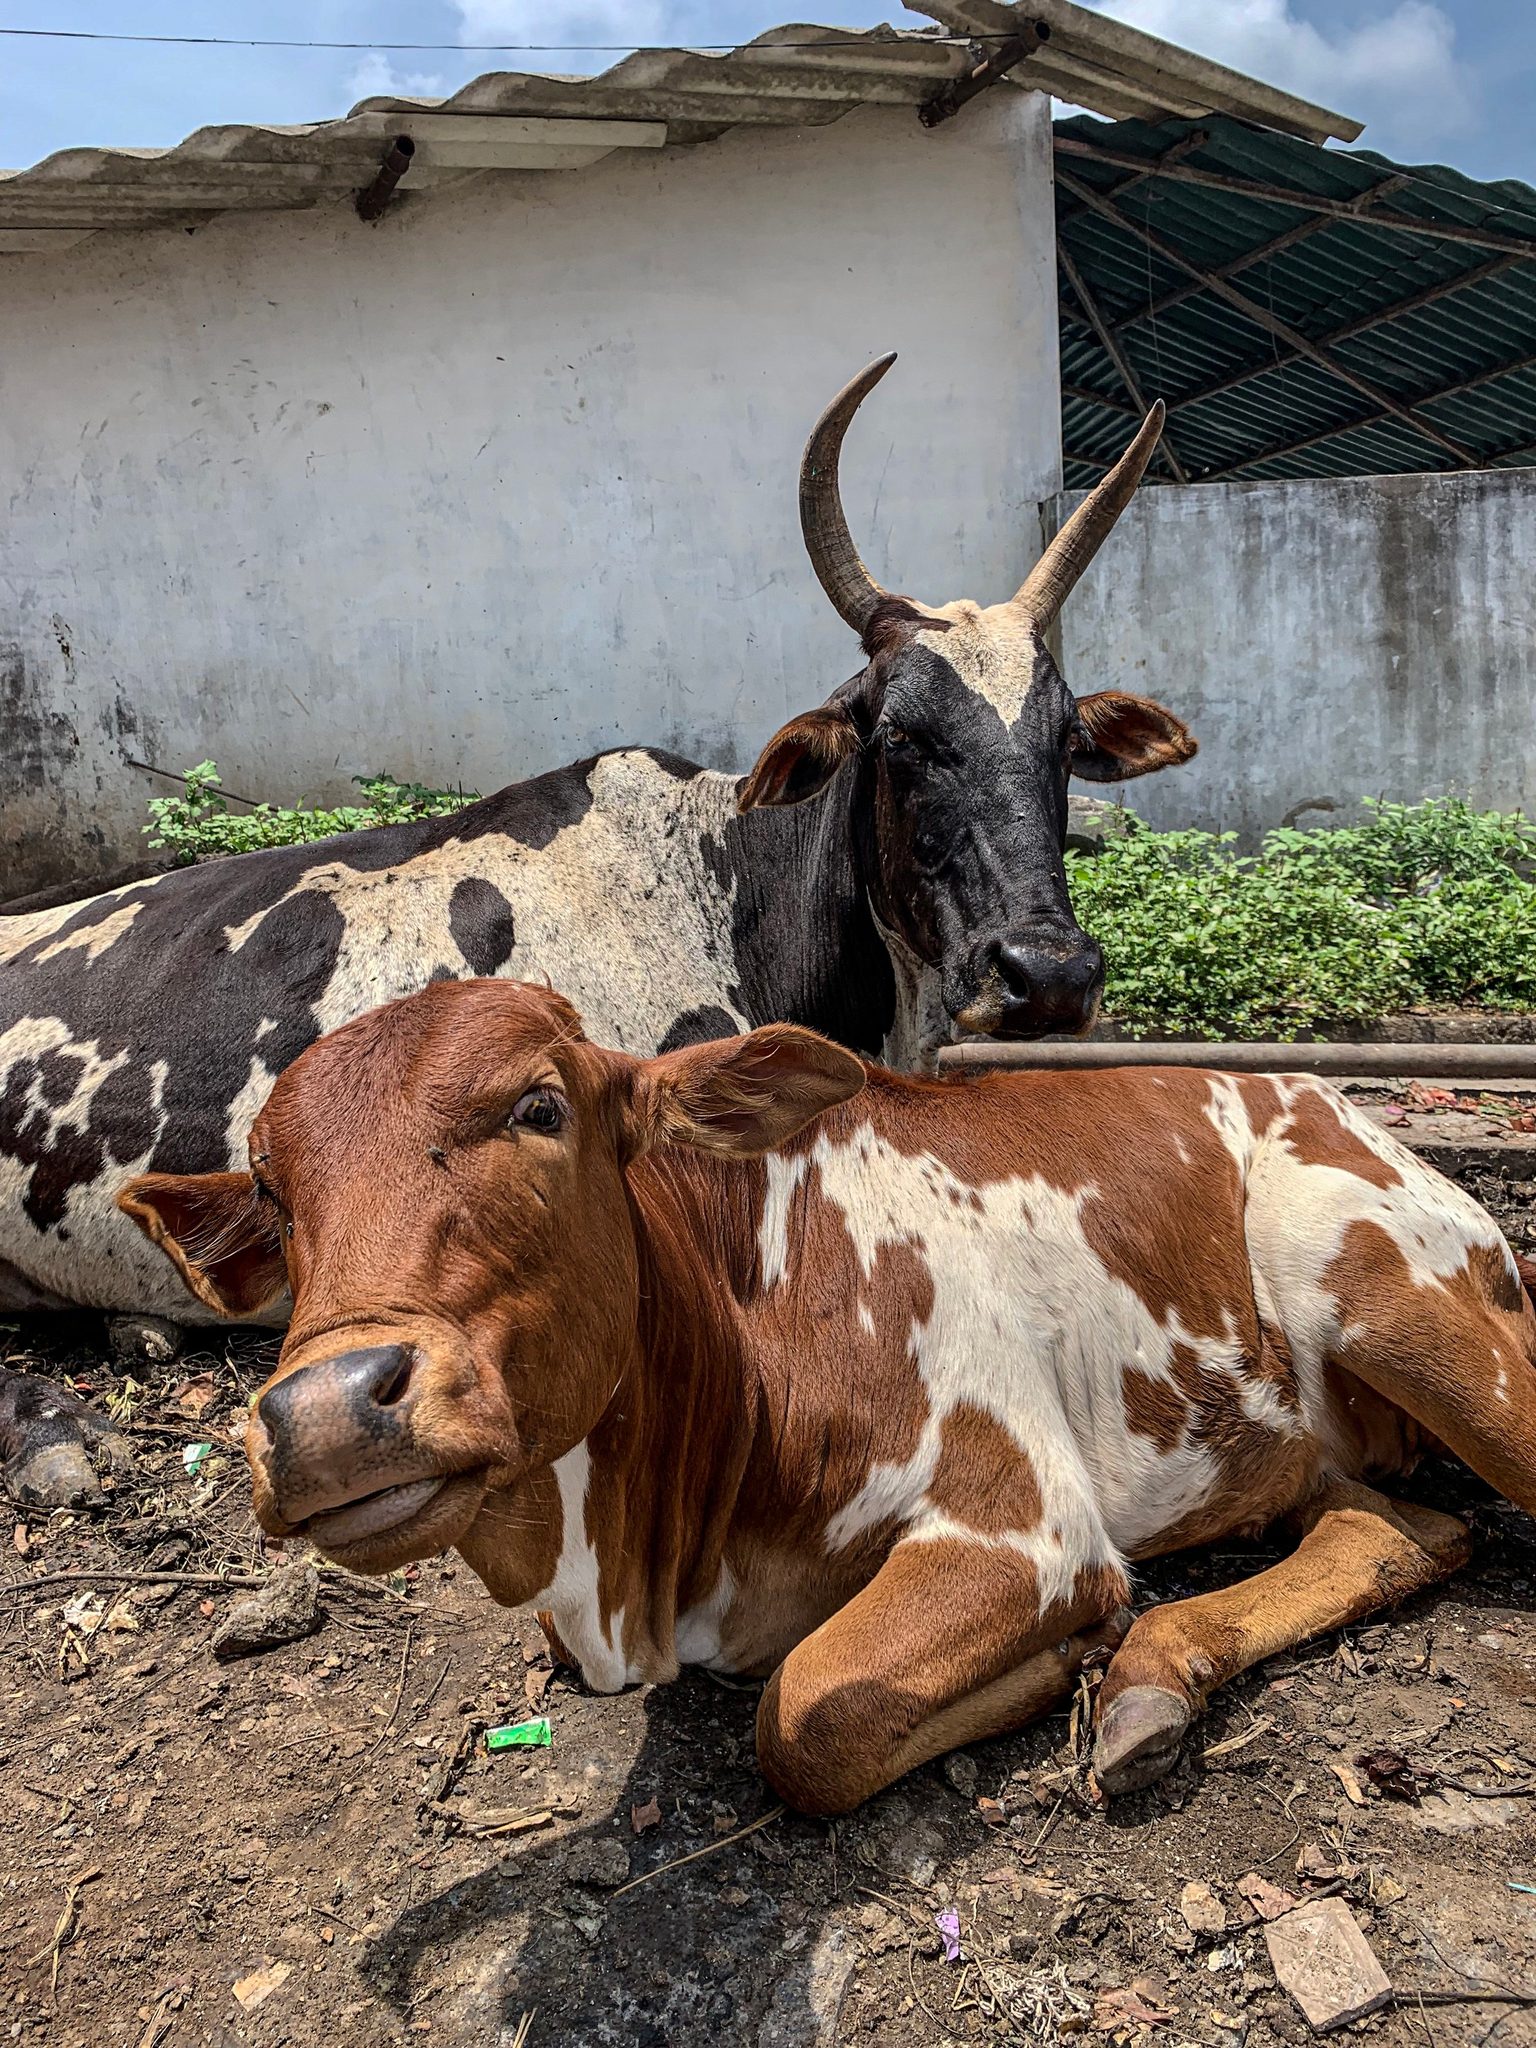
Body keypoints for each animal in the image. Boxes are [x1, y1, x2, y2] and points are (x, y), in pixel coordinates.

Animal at [120, 977, 1536, 1813]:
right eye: (273, 1189)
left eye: (539, 1105)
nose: (325, 1411)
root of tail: (1310, 1086)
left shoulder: (1024, 1524)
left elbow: (804, 1719)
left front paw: (1060, 1658)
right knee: (1396, 1527)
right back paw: (1152, 1680)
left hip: (1393, 1300)